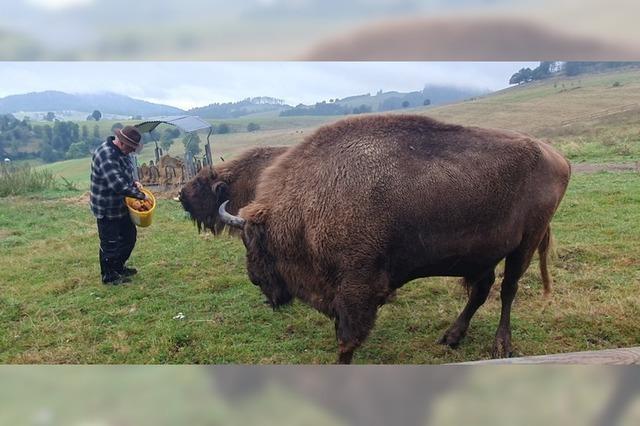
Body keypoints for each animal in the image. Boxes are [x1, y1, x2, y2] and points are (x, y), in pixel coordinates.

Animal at [220, 115, 568, 364]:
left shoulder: (357, 288)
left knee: (508, 290)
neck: (306, 206)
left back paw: (501, 345)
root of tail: (558, 157)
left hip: (526, 243)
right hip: (486, 252)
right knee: (482, 290)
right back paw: (451, 338)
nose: (255, 279)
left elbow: (347, 338)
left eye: (251, 242)